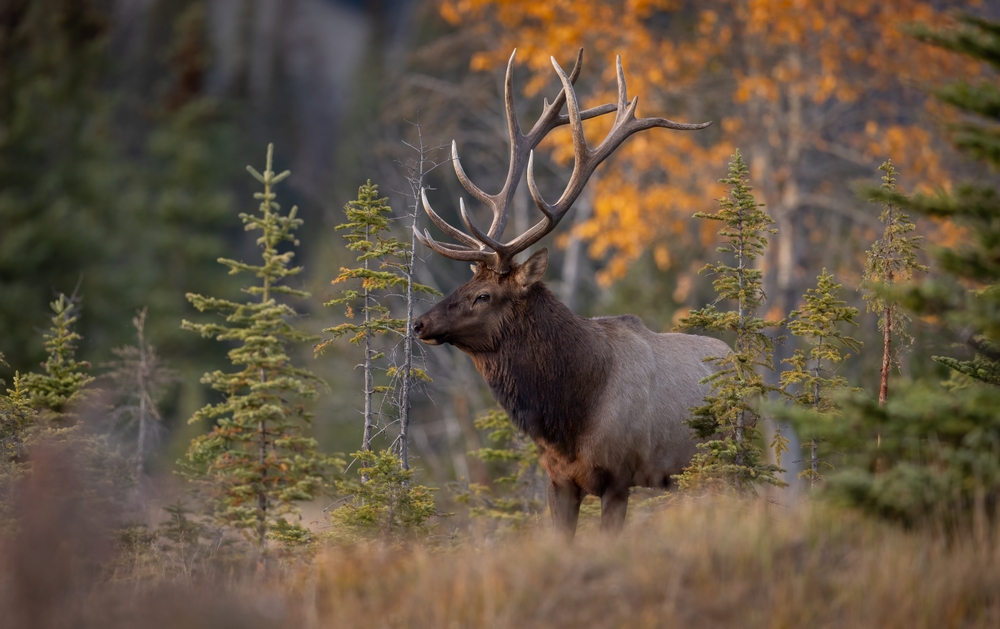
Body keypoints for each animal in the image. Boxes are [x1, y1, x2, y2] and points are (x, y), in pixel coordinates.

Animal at [412, 49, 730, 537]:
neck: (567, 418)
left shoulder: (619, 476)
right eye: (464, 283)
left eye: (483, 295)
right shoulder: (558, 481)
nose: (420, 322)